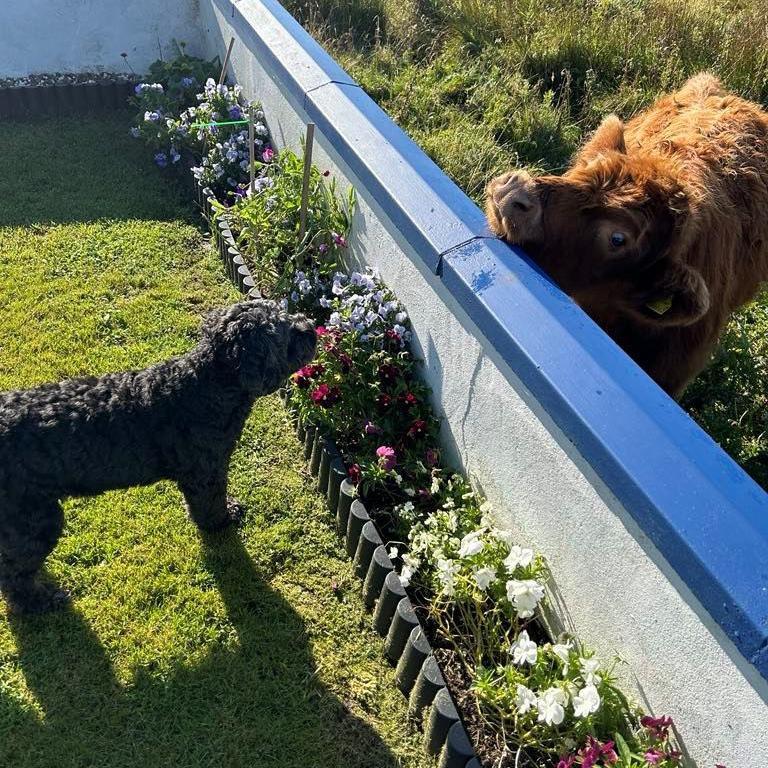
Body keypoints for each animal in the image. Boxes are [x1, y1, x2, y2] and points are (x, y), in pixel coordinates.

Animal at [0, 298, 316, 612]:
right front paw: (221, 521)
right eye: (285, 334)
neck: (205, 387)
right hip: (35, 518)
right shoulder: (205, 473)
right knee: (15, 574)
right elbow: (209, 506)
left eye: (284, 311)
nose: (311, 327)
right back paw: (41, 602)